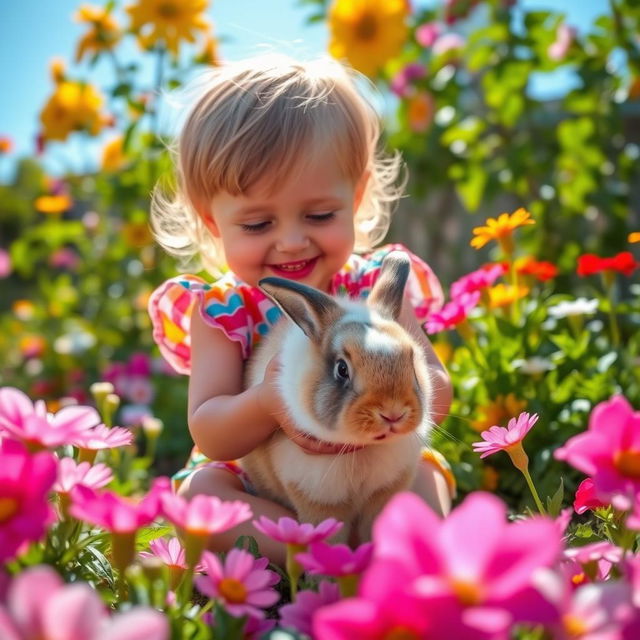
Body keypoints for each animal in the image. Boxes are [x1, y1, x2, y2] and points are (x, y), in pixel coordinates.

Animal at [241, 252, 436, 544]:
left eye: (412, 361)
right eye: (342, 369)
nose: (393, 413)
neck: (363, 449)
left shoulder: (386, 493)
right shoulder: (319, 503)